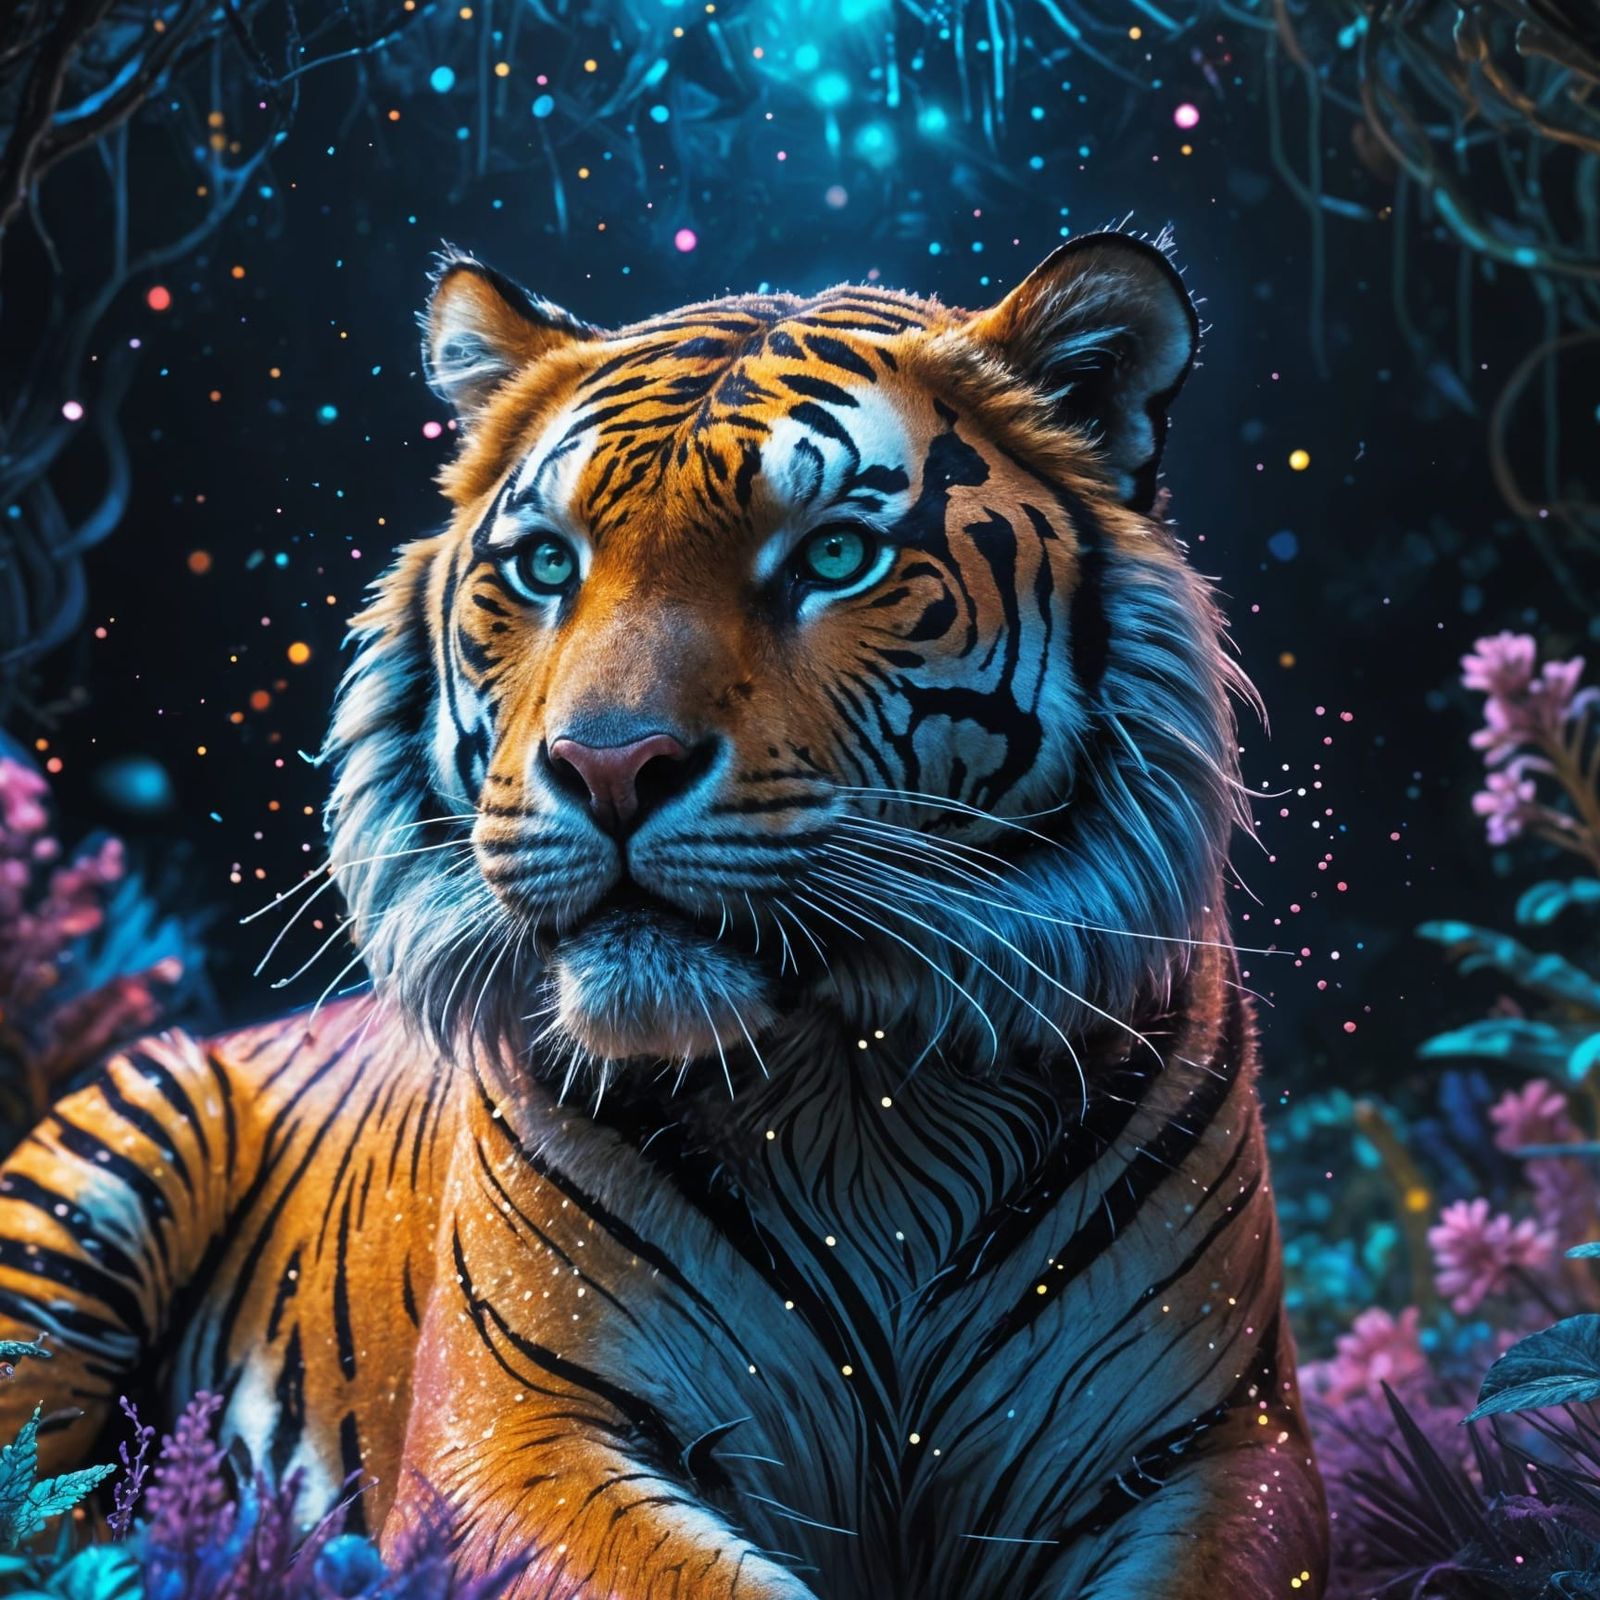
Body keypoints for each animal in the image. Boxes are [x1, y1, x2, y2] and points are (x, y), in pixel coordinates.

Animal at [0, 232, 1328, 1598]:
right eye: (545, 566)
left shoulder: (1225, 1449)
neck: (860, 1103)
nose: (609, 766)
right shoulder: (512, 1427)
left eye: (835, 557)